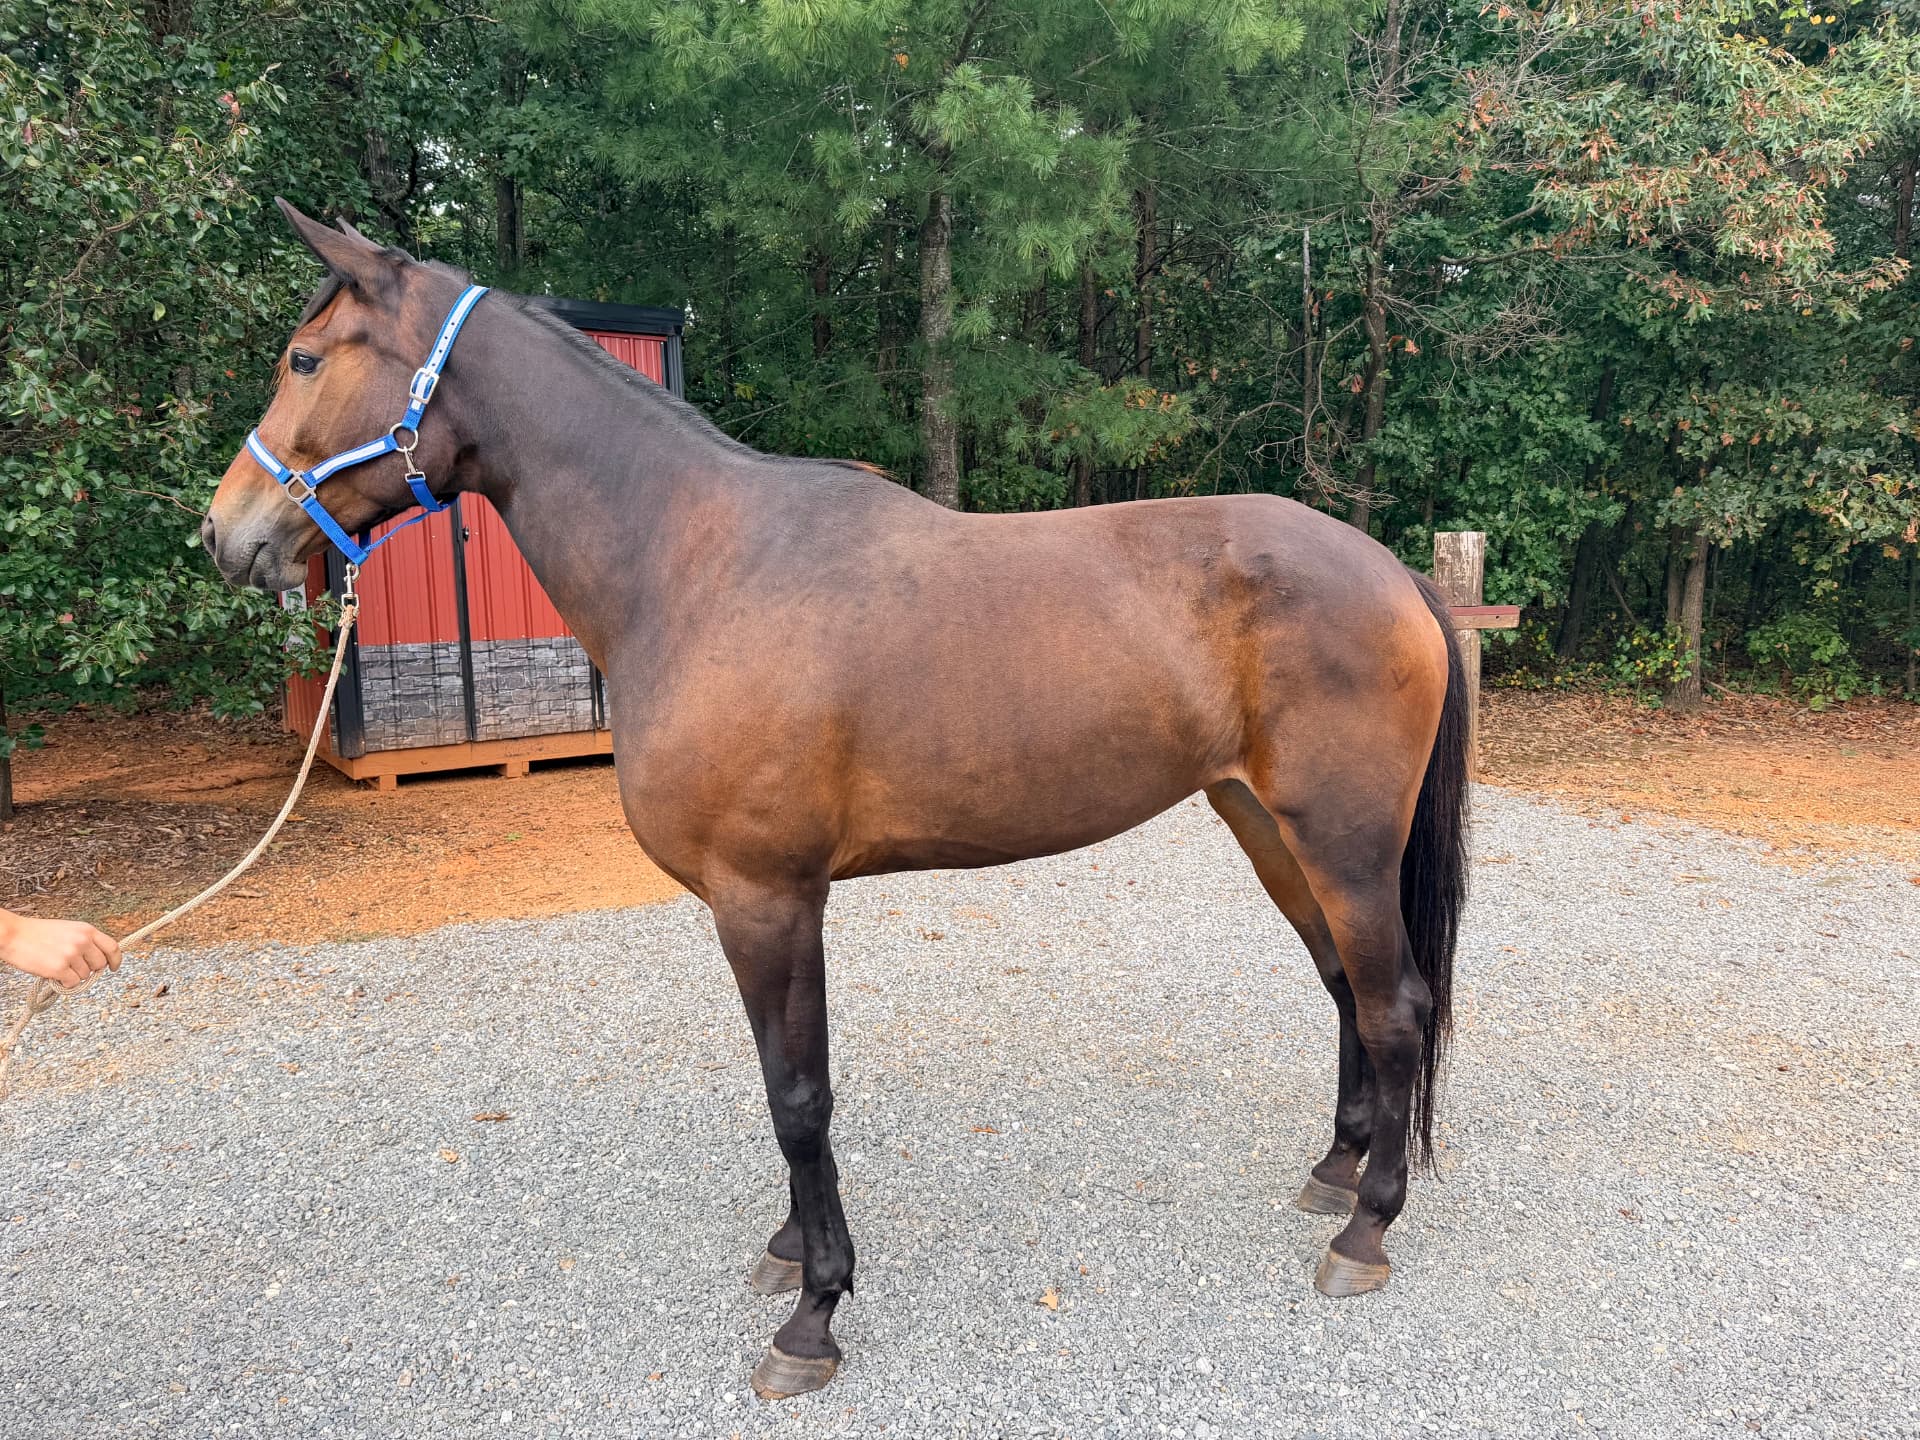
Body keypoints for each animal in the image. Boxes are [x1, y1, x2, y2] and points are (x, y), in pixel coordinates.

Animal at [203, 201, 1469, 1400]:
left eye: (304, 358)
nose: (226, 533)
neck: (694, 565)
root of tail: (1393, 571)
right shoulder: (766, 902)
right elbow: (787, 1088)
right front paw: (788, 1252)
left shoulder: (766, 897)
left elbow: (798, 1096)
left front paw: (813, 1315)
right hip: (1269, 827)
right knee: (1347, 989)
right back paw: (1335, 1173)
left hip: (1342, 842)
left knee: (1395, 1004)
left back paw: (1367, 1229)